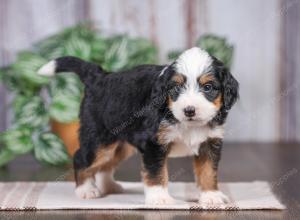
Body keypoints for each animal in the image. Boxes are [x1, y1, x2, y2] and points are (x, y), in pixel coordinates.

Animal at [37, 47, 239, 205]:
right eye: (175, 88)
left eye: (208, 87)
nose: (189, 110)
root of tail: (99, 76)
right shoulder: (154, 143)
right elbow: (157, 173)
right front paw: (159, 198)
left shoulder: (210, 142)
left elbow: (208, 172)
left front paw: (211, 196)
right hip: (99, 139)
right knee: (81, 158)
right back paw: (85, 190)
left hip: (120, 144)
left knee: (106, 165)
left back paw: (109, 186)